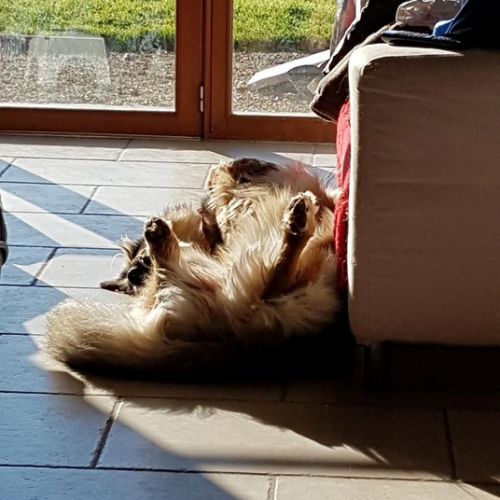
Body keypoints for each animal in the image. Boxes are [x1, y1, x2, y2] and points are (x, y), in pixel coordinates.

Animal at [45, 158, 341, 378]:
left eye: (135, 268)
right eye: (133, 276)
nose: (136, 273)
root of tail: (238, 342)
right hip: (239, 280)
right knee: (278, 271)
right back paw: (297, 220)